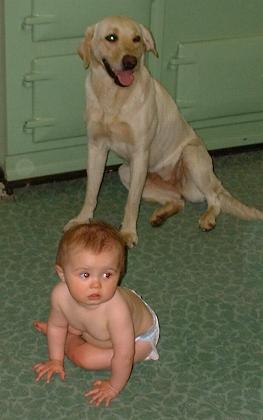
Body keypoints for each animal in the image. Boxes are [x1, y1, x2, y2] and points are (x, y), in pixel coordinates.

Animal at [65, 15, 263, 246]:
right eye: (111, 37)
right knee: (178, 201)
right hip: (126, 172)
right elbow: (91, 192)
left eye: (136, 39)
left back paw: (207, 218)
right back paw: (160, 215)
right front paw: (82, 220)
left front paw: (128, 232)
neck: (113, 97)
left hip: (190, 157)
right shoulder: (96, 148)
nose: (131, 62)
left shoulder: (140, 153)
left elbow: (131, 203)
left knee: (214, 199)